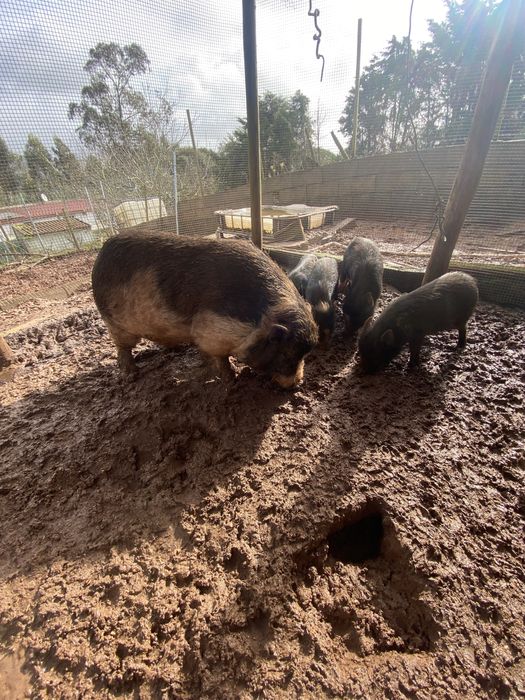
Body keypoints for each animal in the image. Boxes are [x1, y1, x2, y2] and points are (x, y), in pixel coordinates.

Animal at [91, 231, 319, 388]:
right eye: (286, 354)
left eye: (305, 354)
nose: (297, 383)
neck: (259, 319)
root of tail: (101, 253)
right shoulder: (213, 330)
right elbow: (220, 358)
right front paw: (231, 379)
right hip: (114, 322)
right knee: (123, 348)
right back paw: (131, 376)